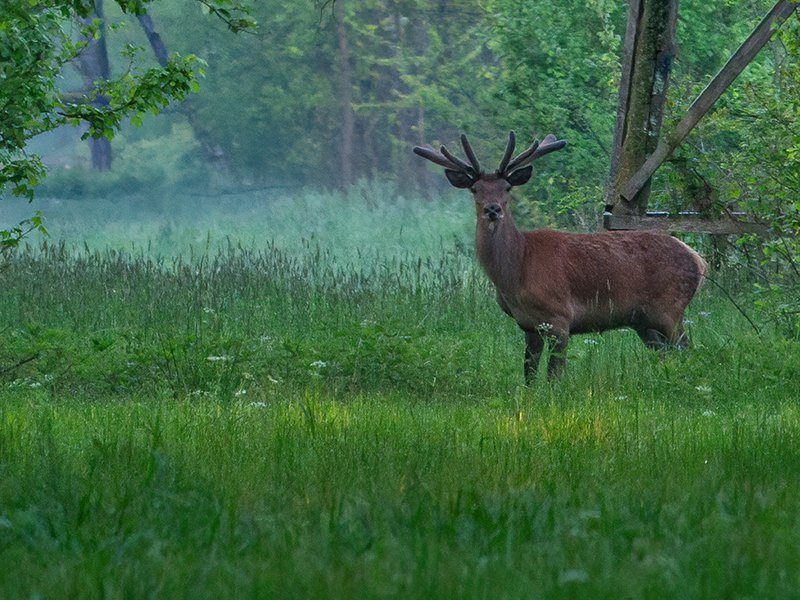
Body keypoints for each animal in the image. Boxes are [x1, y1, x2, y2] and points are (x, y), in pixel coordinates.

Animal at [412, 133, 708, 382]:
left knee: (687, 348)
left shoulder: (560, 317)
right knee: (667, 354)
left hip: (670, 307)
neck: (516, 271)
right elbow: (529, 374)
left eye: (507, 187)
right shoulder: (528, 325)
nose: (492, 209)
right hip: (643, 321)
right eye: (475, 189)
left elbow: (555, 375)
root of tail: (698, 259)